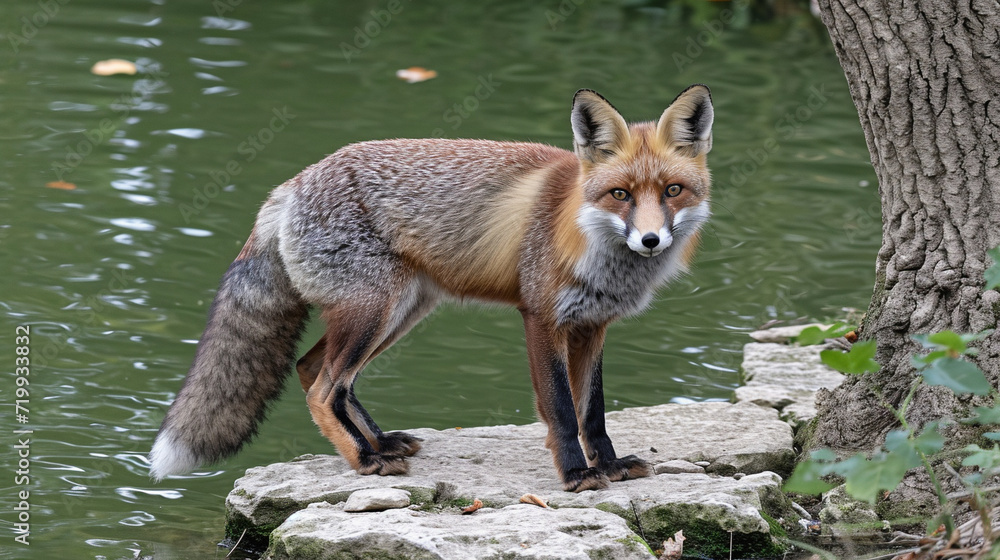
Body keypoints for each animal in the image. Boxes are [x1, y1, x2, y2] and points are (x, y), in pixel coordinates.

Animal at [146, 85, 712, 492]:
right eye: (620, 194)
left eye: (672, 191)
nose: (650, 240)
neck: (585, 235)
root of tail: (292, 184)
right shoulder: (542, 318)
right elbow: (560, 409)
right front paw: (576, 475)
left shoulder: (593, 325)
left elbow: (591, 411)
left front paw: (608, 466)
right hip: (375, 310)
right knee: (323, 387)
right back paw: (364, 461)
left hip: (399, 314)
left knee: (316, 372)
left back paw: (378, 444)